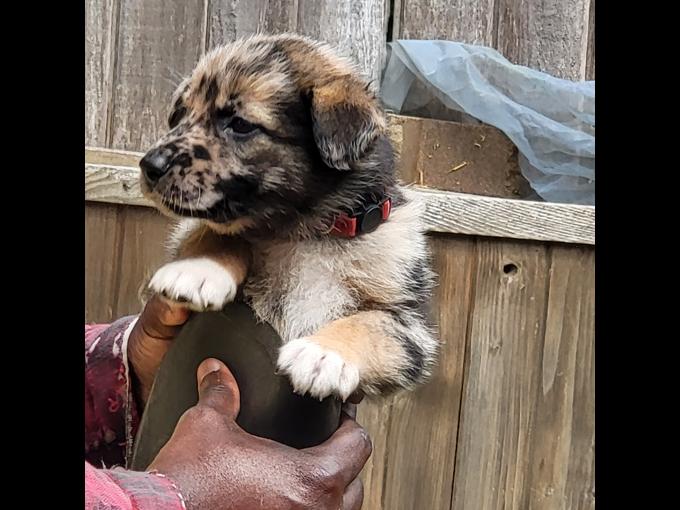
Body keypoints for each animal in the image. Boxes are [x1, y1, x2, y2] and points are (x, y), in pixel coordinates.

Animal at [140, 33, 438, 400]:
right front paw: (197, 270)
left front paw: (323, 354)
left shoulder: (411, 324)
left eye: (239, 125)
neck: (305, 233)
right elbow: (215, 232)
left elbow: (369, 325)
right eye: (180, 115)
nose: (149, 165)